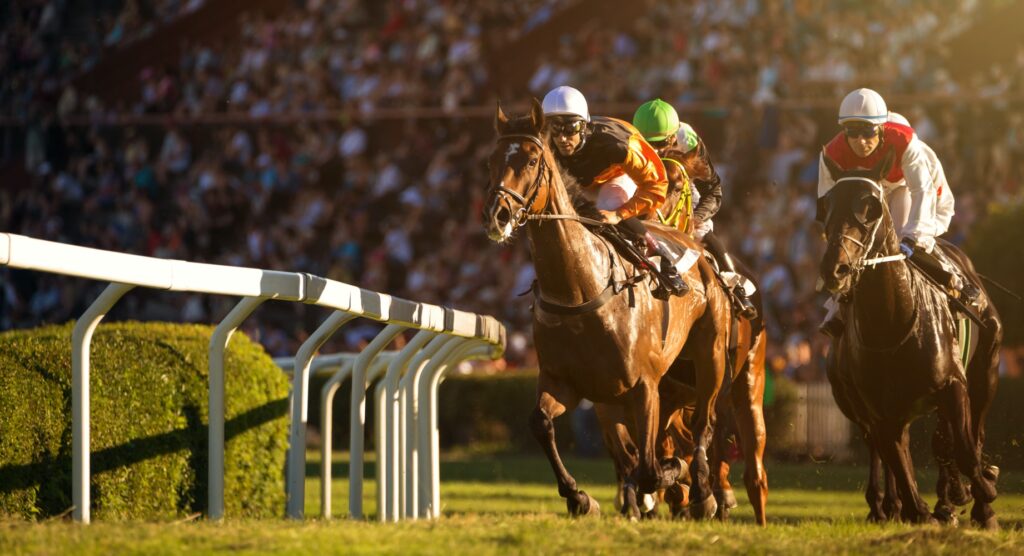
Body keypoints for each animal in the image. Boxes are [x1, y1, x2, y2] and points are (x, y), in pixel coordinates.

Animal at [485, 102, 733, 520]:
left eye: (532, 159)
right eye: (492, 159)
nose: (497, 215)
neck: (580, 288)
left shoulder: (643, 387)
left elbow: (650, 469)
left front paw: (672, 478)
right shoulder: (565, 383)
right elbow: (540, 423)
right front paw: (579, 497)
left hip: (709, 355)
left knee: (704, 423)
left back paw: (703, 492)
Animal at [819, 151, 1003, 532]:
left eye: (871, 207)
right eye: (825, 205)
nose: (835, 269)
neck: (892, 322)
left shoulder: (953, 384)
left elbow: (965, 450)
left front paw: (982, 495)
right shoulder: (878, 410)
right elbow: (898, 459)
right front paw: (918, 510)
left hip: (987, 371)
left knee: (966, 437)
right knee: (895, 447)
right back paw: (894, 505)